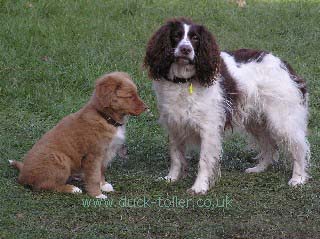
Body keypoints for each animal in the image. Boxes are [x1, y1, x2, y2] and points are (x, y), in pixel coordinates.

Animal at [9, 71, 148, 198]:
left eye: (136, 93)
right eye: (130, 96)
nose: (147, 108)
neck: (105, 117)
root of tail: (22, 175)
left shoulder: (105, 153)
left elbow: (101, 171)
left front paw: (103, 185)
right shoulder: (93, 155)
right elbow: (94, 177)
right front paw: (97, 194)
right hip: (60, 159)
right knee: (46, 186)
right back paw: (72, 188)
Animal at [144, 18, 308, 194]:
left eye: (195, 38)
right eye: (176, 35)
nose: (185, 49)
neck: (184, 81)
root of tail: (284, 64)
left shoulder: (208, 128)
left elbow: (204, 160)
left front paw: (199, 187)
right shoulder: (174, 124)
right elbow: (175, 156)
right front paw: (171, 178)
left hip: (282, 120)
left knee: (299, 147)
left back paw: (298, 178)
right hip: (256, 120)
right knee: (269, 144)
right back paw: (259, 168)